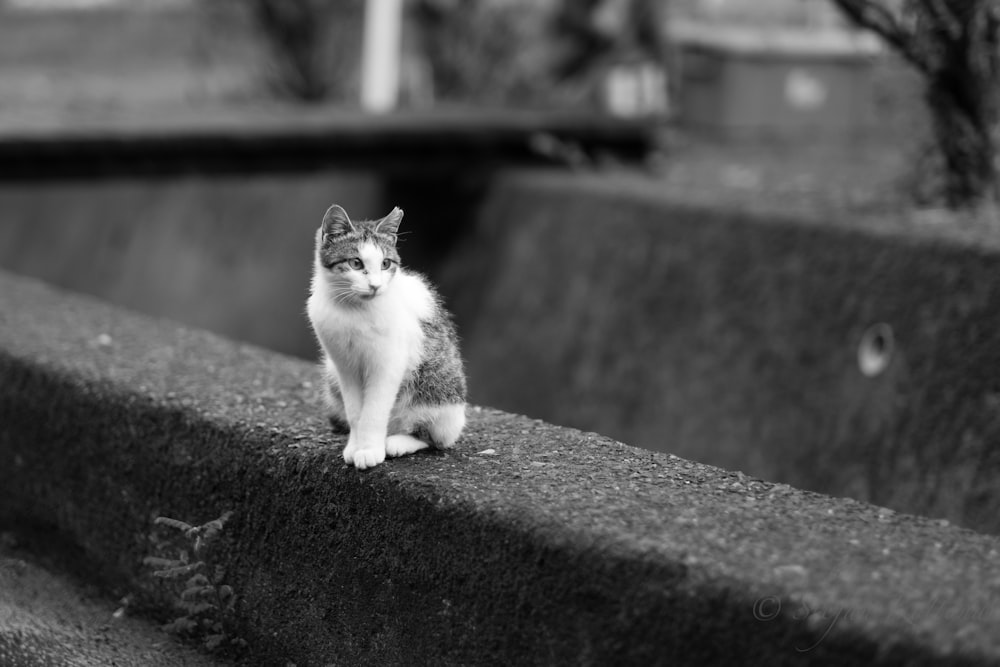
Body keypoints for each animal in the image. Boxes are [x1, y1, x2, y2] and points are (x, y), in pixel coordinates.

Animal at [306, 204, 466, 470]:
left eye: (385, 263)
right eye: (356, 263)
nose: (375, 286)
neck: (355, 310)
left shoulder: (388, 363)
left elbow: (373, 412)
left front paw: (370, 450)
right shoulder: (344, 366)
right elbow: (355, 412)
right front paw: (356, 446)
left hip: (438, 393)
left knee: (434, 438)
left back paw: (396, 443)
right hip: (330, 375)